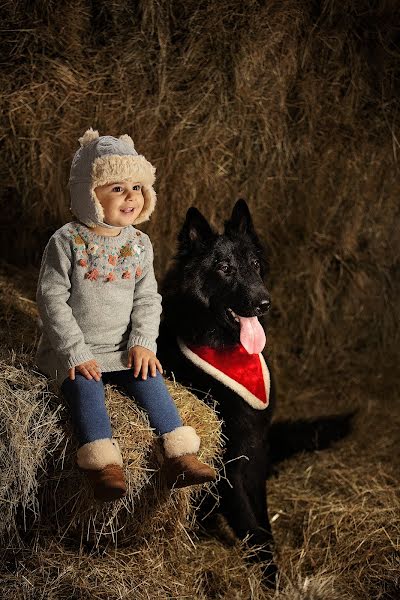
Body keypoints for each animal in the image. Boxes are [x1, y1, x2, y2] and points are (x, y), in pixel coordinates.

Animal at [158, 200, 276, 580]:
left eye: (254, 265)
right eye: (224, 268)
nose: (264, 303)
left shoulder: (254, 451)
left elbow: (263, 519)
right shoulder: (225, 465)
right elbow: (253, 528)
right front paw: (271, 578)